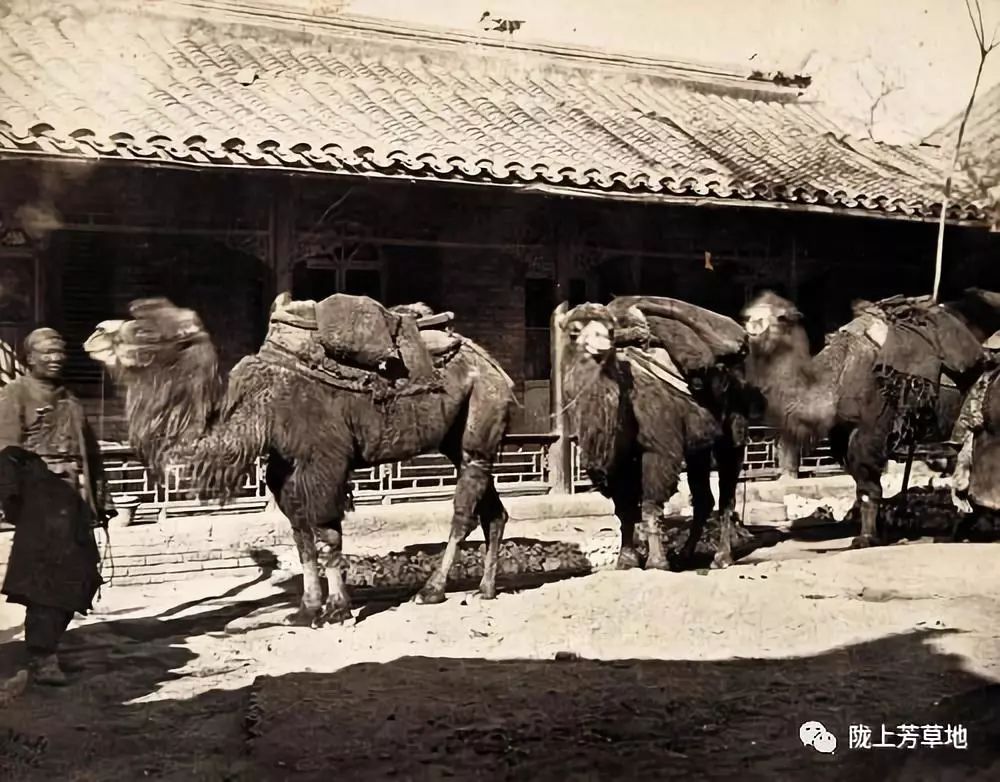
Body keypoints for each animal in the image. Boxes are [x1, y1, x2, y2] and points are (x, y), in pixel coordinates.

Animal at [564, 298, 756, 572]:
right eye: (574, 332)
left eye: (610, 331)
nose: (601, 346)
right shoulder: (617, 465)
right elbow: (624, 511)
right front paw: (626, 561)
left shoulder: (659, 451)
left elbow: (649, 507)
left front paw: (657, 562)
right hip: (698, 450)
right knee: (704, 499)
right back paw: (685, 554)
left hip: (732, 439)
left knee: (726, 498)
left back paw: (721, 558)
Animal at [744, 288, 1000, 552]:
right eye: (749, 315)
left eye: (775, 317)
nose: (746, 332)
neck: (840, 374)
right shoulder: (842, 434)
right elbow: (861, 484)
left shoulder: (871, 430)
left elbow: (868, 486)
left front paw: (866, 538)